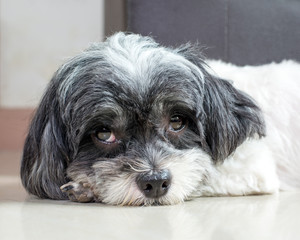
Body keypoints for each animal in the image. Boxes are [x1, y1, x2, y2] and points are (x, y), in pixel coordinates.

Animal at [19, 31, 298, 204]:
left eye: (176, 121)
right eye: (104, 133)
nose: (155, 182)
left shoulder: (253, 169)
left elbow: (201, 171)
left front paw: (84, 187)